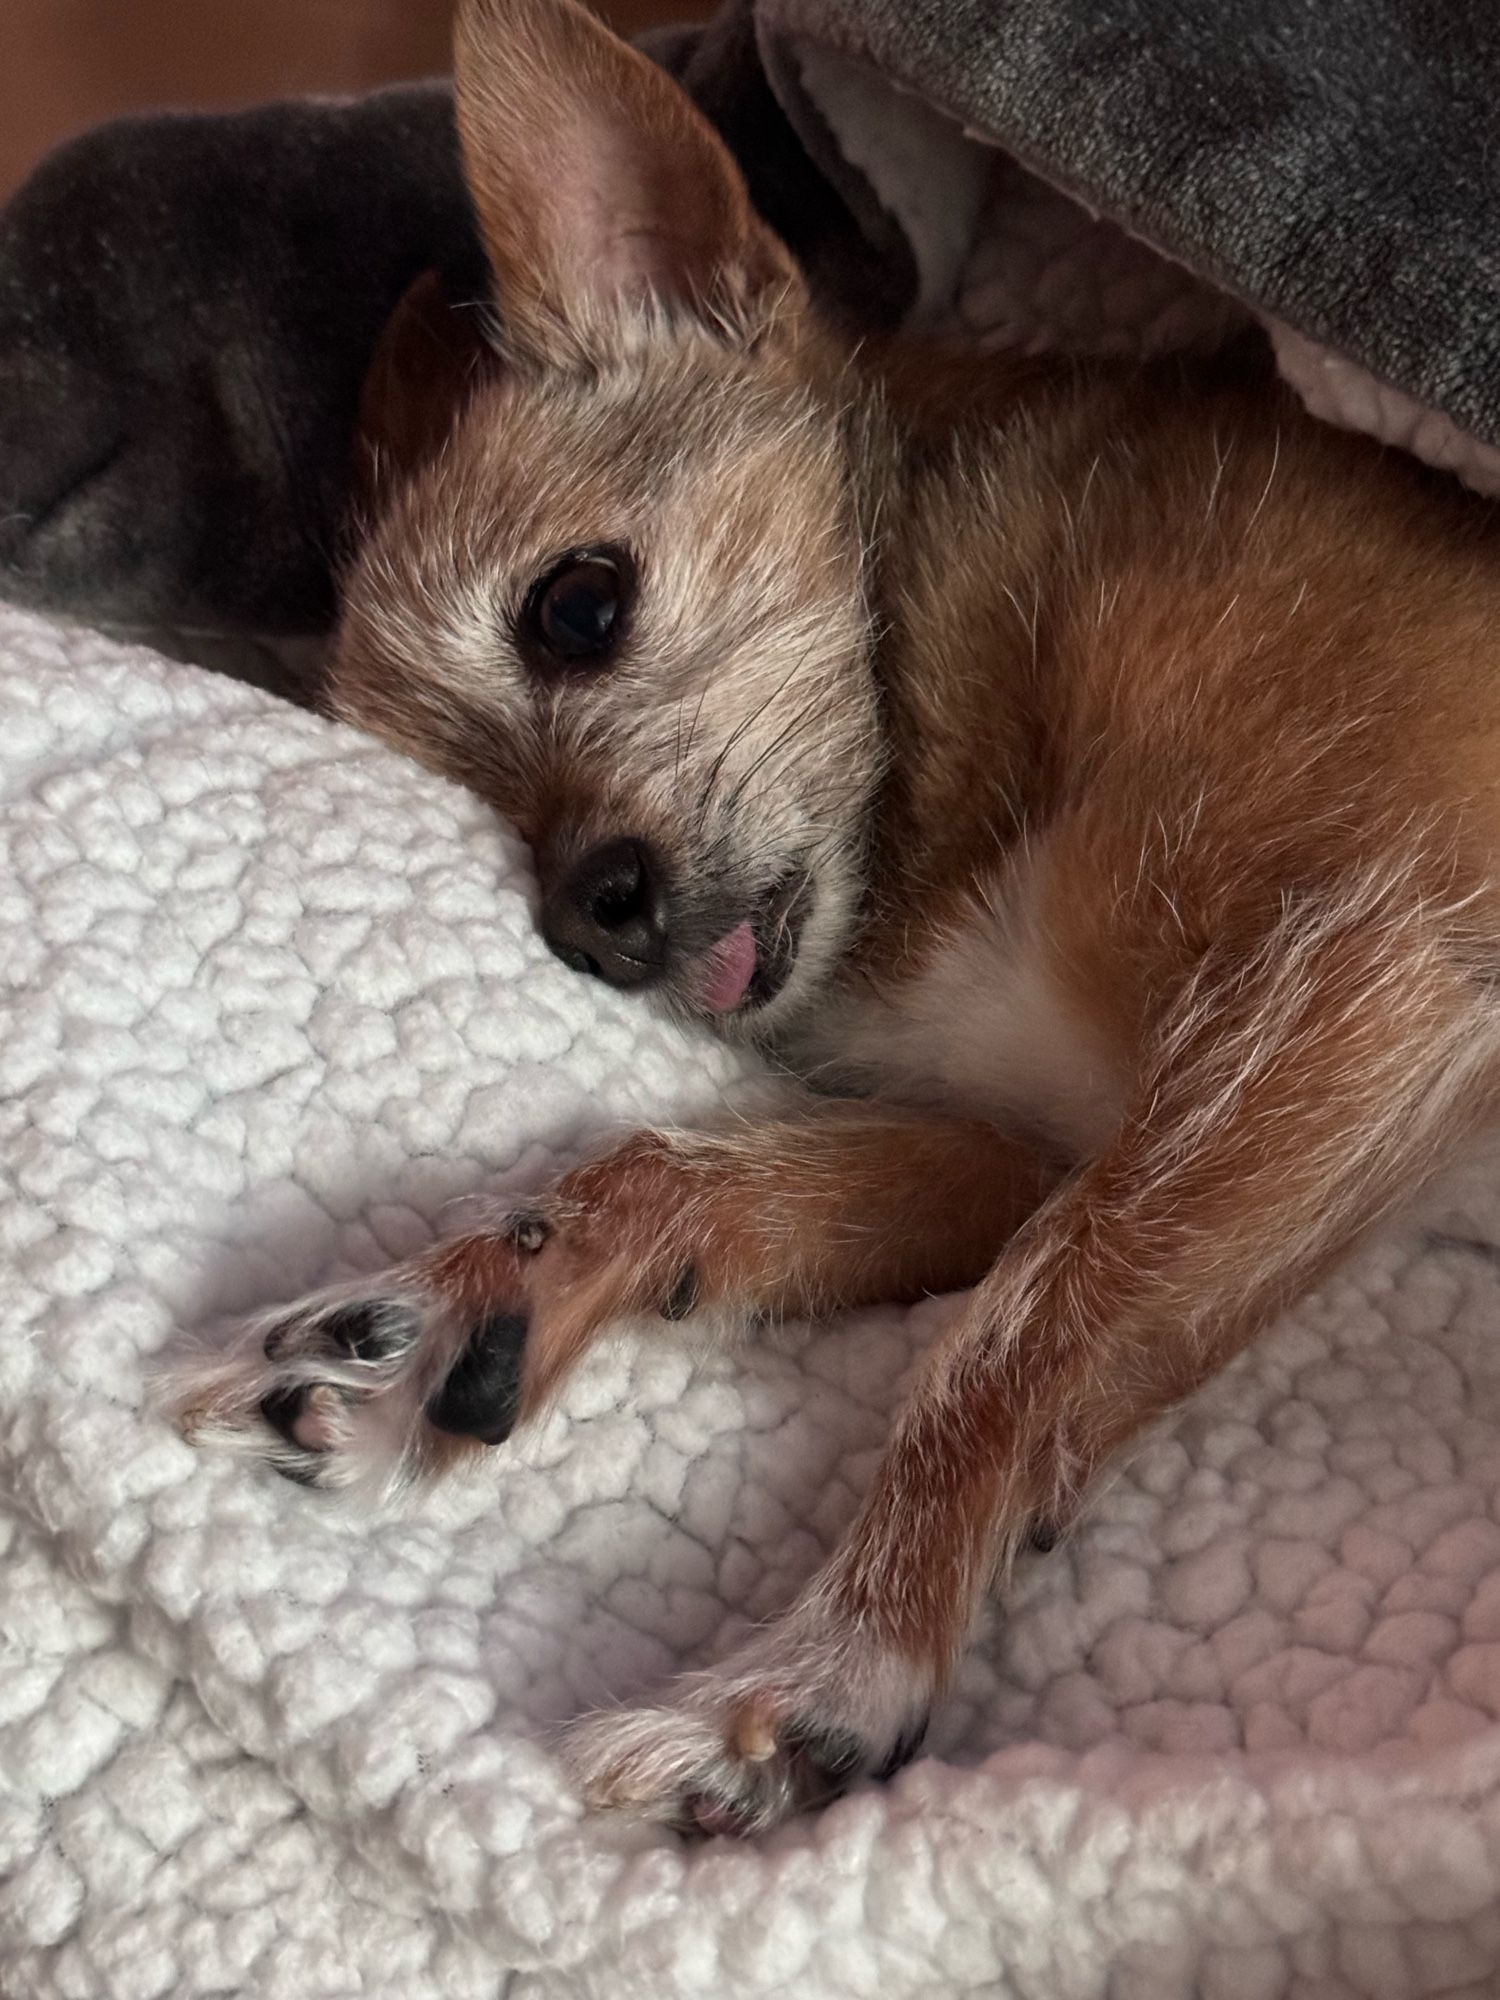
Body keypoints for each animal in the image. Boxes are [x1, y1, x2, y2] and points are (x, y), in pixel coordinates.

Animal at [176, 0, 1500, 1832]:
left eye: (577, 606)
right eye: (465, 808)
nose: (590, 916)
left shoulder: (1368, 961)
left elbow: (1007, 1333)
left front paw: (822, 1667)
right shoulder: (1023, 1140)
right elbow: (702, 1172)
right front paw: (462, 1305)